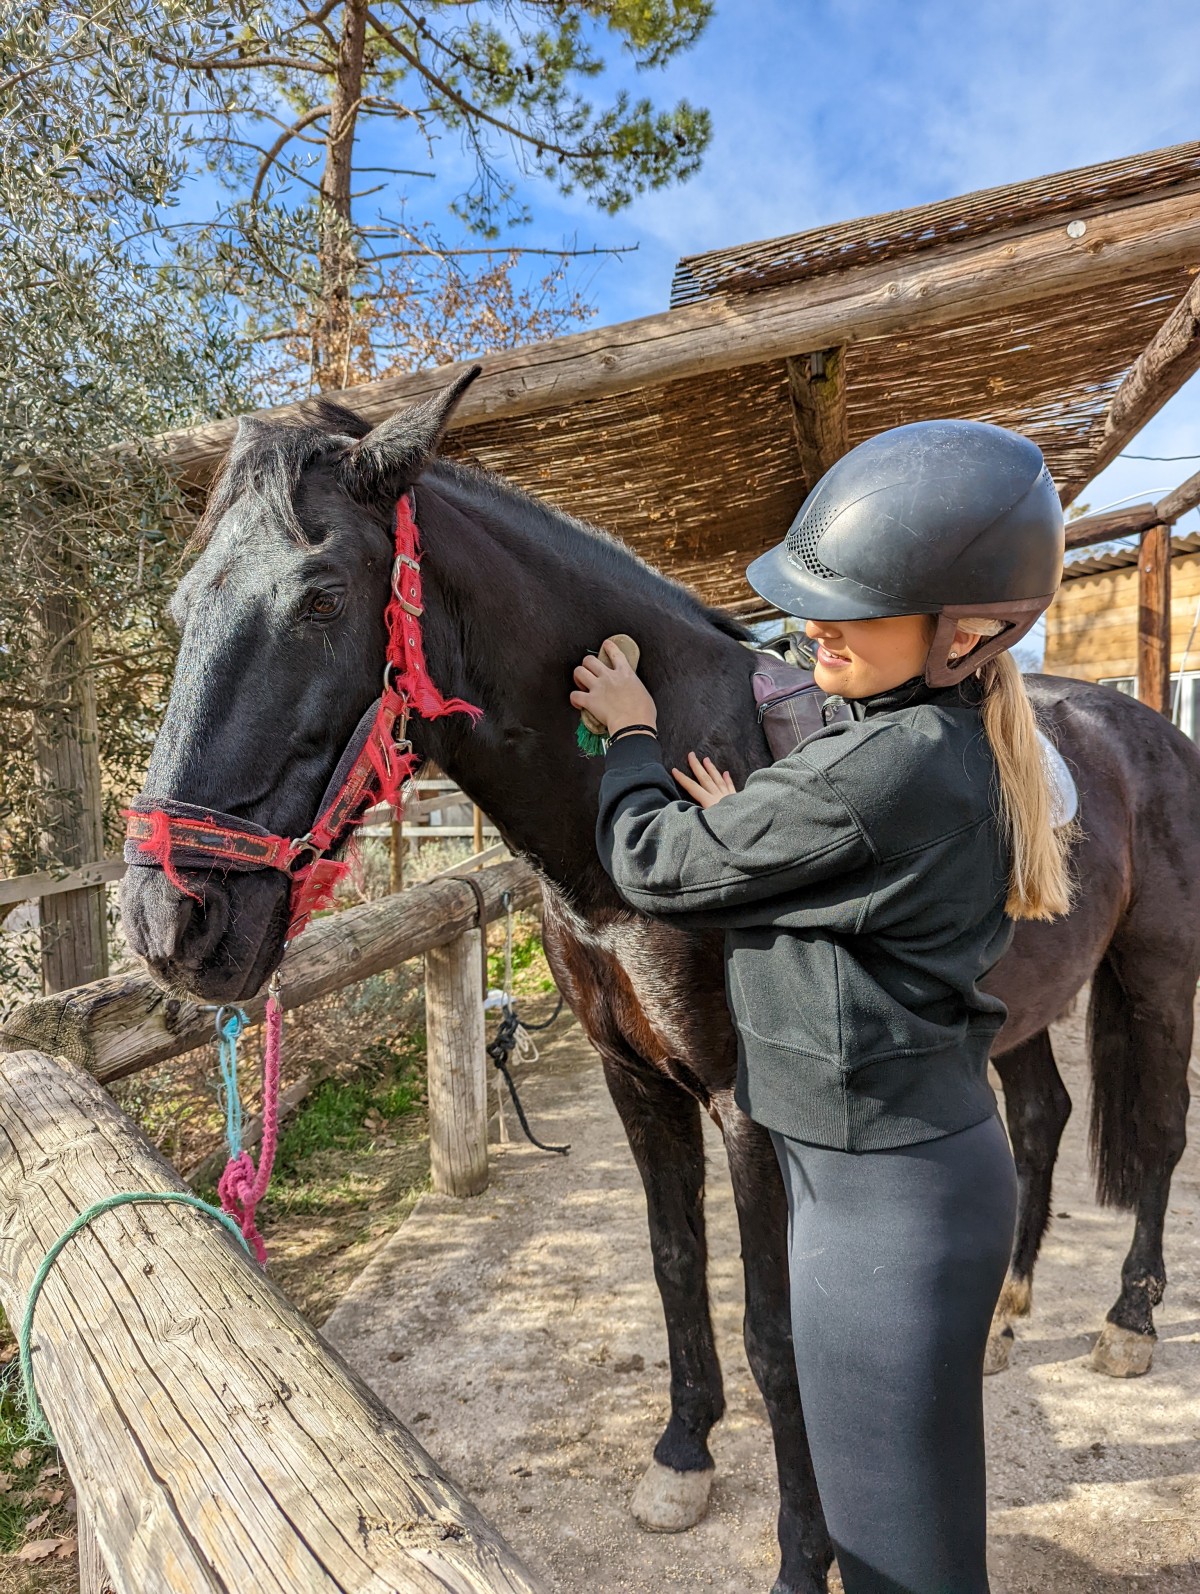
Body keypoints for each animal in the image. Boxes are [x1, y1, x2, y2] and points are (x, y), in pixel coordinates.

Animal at [121, 375, 1200, 1594]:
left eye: (319, 598)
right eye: (182, 606)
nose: (169, 920)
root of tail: (1143, 726)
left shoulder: (751, 1112)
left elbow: (779, 1334)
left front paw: (802, 1557)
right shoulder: (634, 1081)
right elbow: (677, 1266)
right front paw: (684, 1454)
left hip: (1159, 975)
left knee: (1158, 1133)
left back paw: (1128, 1320)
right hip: (1018, 1013)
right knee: (1042, 1120)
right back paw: (1007, 1314)